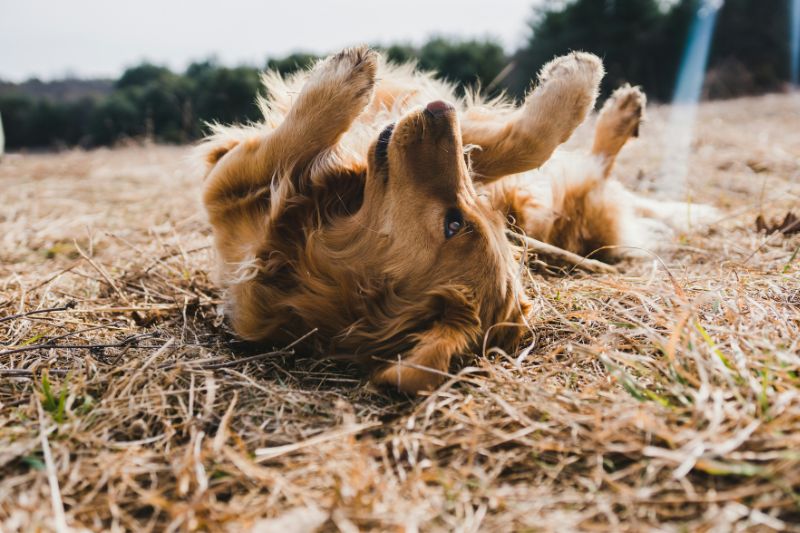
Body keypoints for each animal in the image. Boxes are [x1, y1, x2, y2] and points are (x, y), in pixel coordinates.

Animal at [197, 45, 716, 392]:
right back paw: (623, 111)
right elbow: (520, 144)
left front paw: (339, 84)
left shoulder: (224, 191)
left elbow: (289, 143)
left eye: (455, 223)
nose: (440, 109)